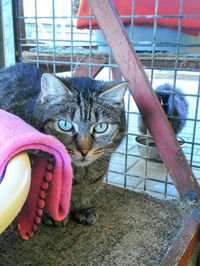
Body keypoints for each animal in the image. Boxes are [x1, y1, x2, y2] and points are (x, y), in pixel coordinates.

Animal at [0, 63, 127, 225]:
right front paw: (53, 214)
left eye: (100, 127)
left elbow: (86, 191)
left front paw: (83, 207)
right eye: (65, 125)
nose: (84, 150)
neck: (80, 173)